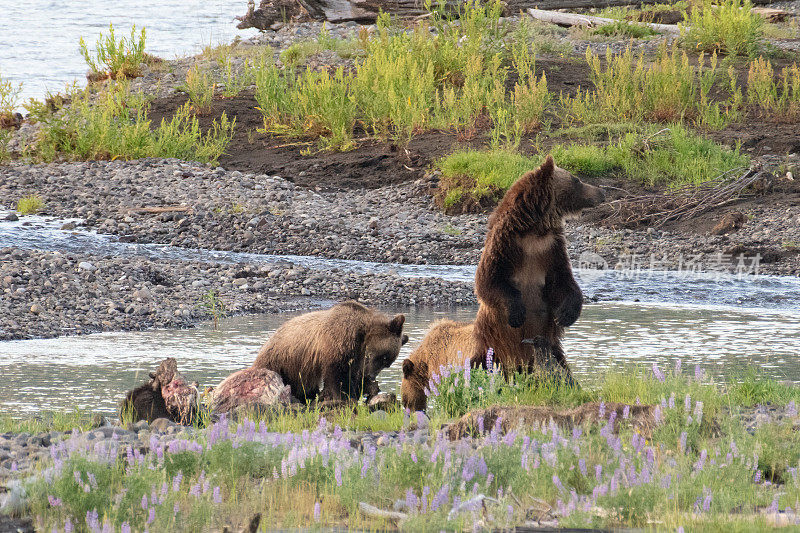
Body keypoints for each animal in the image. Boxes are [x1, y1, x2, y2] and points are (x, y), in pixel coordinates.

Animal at [253, 302, 410, 402]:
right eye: (383, 357)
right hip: (281, 359)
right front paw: (345, 396)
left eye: (387, 363)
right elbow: (337, 374)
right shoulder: (337, 344)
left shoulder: (355, 357)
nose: (370, 376)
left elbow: (353, 375)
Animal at [404, 156, 604, 410]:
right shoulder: (505, 245)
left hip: (549, 348)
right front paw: (517, 312)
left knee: (561, 370)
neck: (535, 230)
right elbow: (489, 281)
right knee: (480, 371)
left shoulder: (551, 251)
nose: (601, 192)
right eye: (576, 179)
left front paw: (566, 314)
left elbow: (563, 282)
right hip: (491, 346)